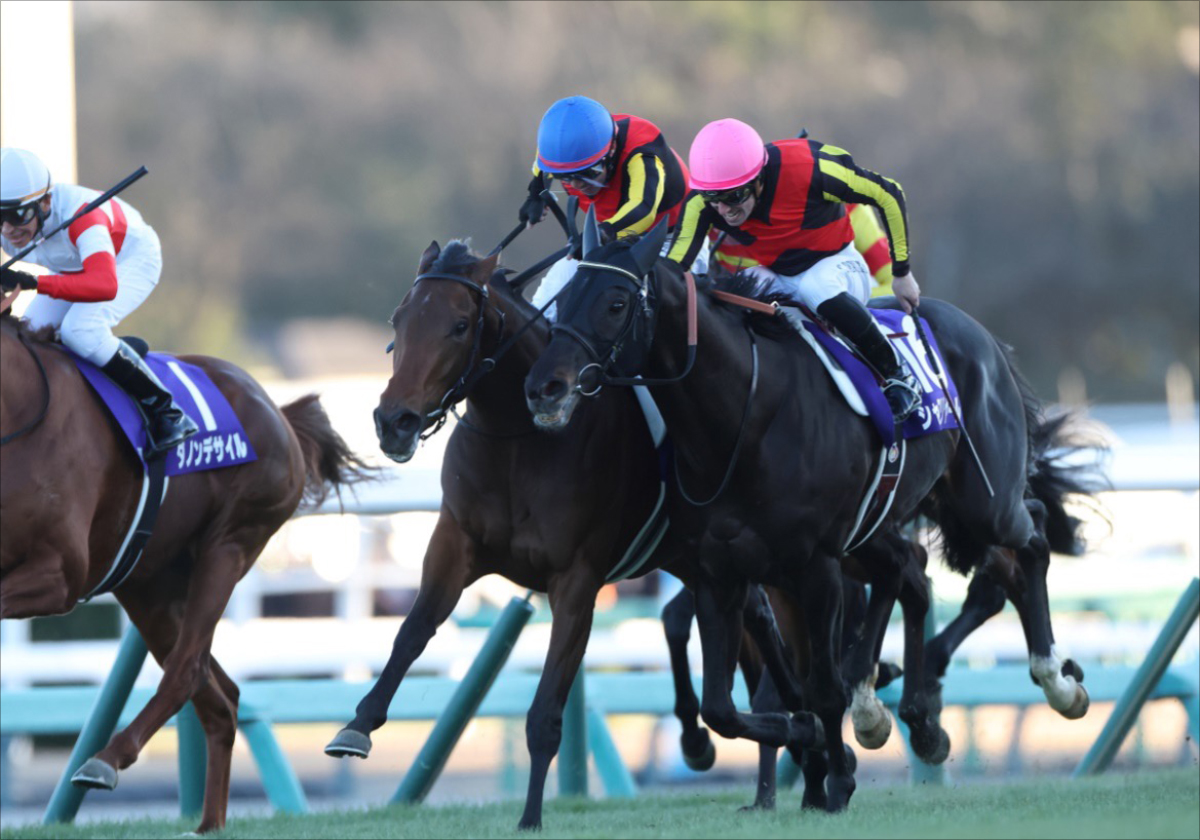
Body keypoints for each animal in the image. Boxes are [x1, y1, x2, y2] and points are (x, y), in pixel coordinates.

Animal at [0, 307, 371, 834]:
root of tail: (276, 409)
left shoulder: (60, 574)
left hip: (228, 546)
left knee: (185, 670)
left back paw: (106, 761)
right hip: (148, 585)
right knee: (221, 696)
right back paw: (208, 823)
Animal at [523, 212, 1094, 811]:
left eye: (615, 303)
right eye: (564, 297)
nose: (544, 388)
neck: (745, 415)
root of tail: (983, 336)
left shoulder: (815, 566)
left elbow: (820, 687)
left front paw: (834, 777)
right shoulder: (721, 571)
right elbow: (723, 705)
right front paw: (806, 744)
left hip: (983, 502)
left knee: (1030, 534)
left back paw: (1055, 679)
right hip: (905, 516)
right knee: (922, 568)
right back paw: (914, 712)